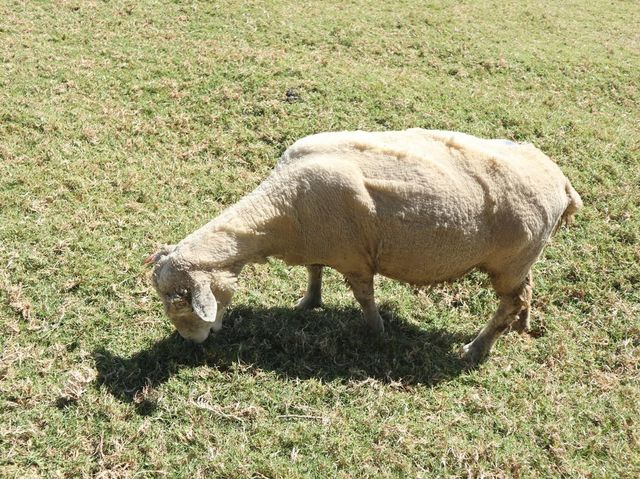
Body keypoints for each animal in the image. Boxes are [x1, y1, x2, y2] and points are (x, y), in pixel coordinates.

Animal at [148, 129, 584, 362]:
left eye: (182, 305)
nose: (192, 343)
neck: (280, 212)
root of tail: (562, 182)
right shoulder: (323, 244)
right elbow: (314, 271)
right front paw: (309, 302)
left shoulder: (354, 258)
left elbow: (364, 296)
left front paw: (376, 330)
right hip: (523, 259)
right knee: (526, 290)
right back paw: (523, 324)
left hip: (509, 259)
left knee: (508, 302)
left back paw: (476, 348)